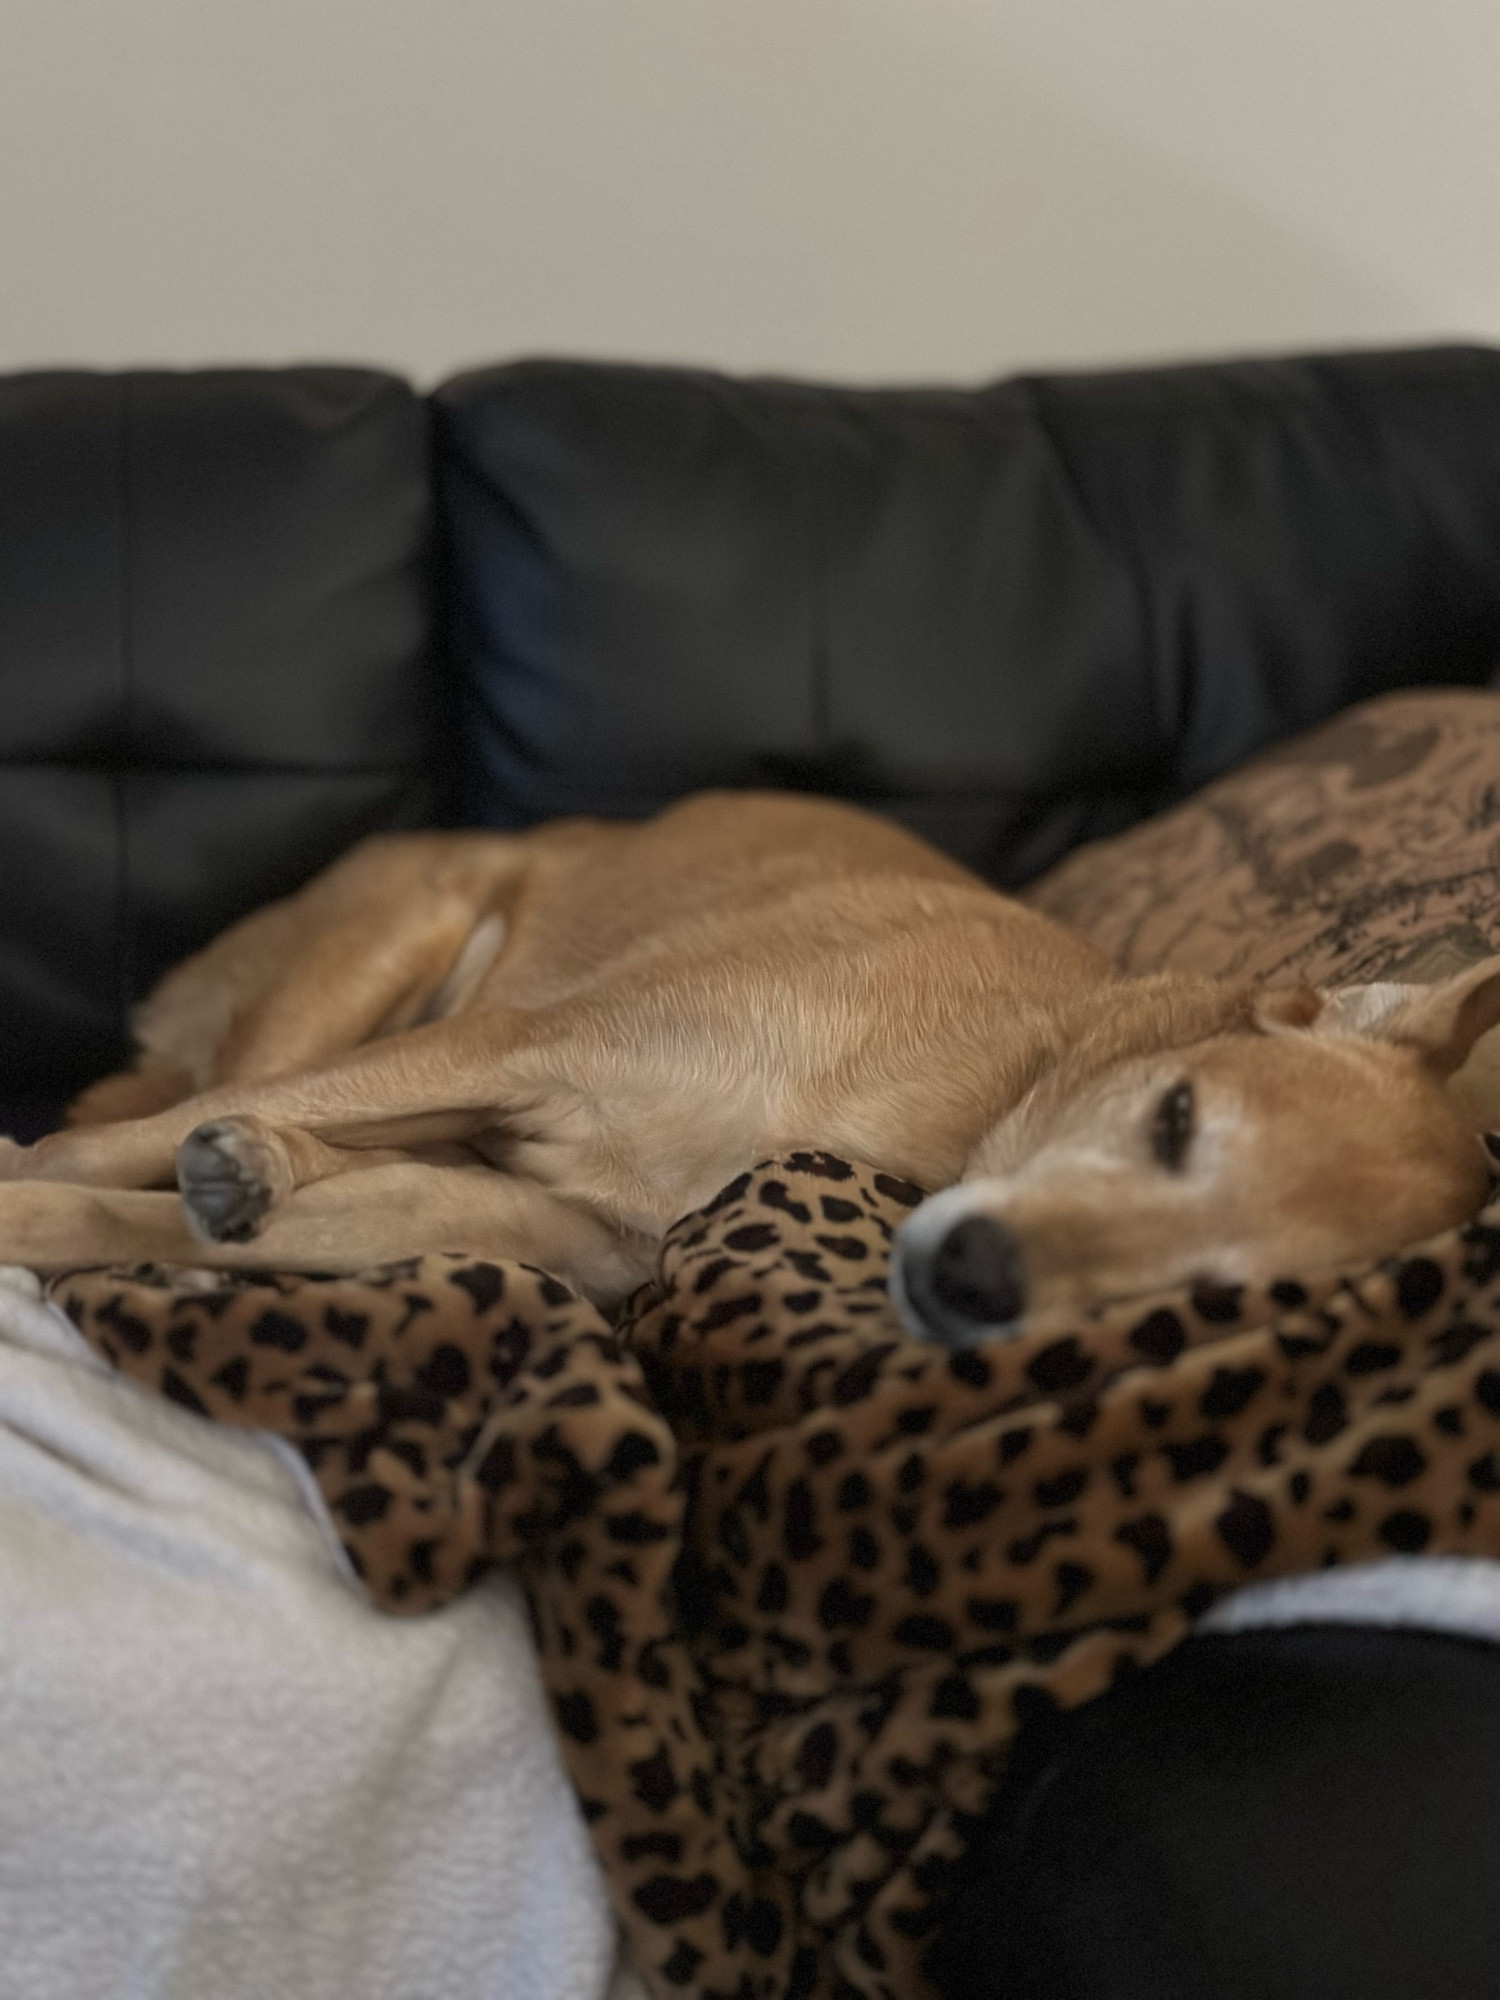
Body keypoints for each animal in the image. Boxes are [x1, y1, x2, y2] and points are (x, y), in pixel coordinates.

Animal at [2, 788, 1500, 1336]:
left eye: (1211, 1300)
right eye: (1177, 1116)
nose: (975, 1281)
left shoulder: (522, 1216)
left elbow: (111, 1209)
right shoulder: (520, 1046)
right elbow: (80, 1158)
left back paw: (251, 1173)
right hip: (389, 960)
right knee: (192, 1097)